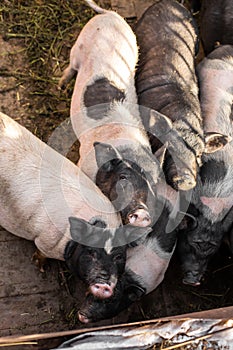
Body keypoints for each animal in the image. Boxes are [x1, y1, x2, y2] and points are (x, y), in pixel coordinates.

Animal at [0, 111, 150, 298]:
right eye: (91, 251)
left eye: (119, 257)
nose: (104, 284)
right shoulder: (45, 242)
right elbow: (41, 253)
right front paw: (40, 268)